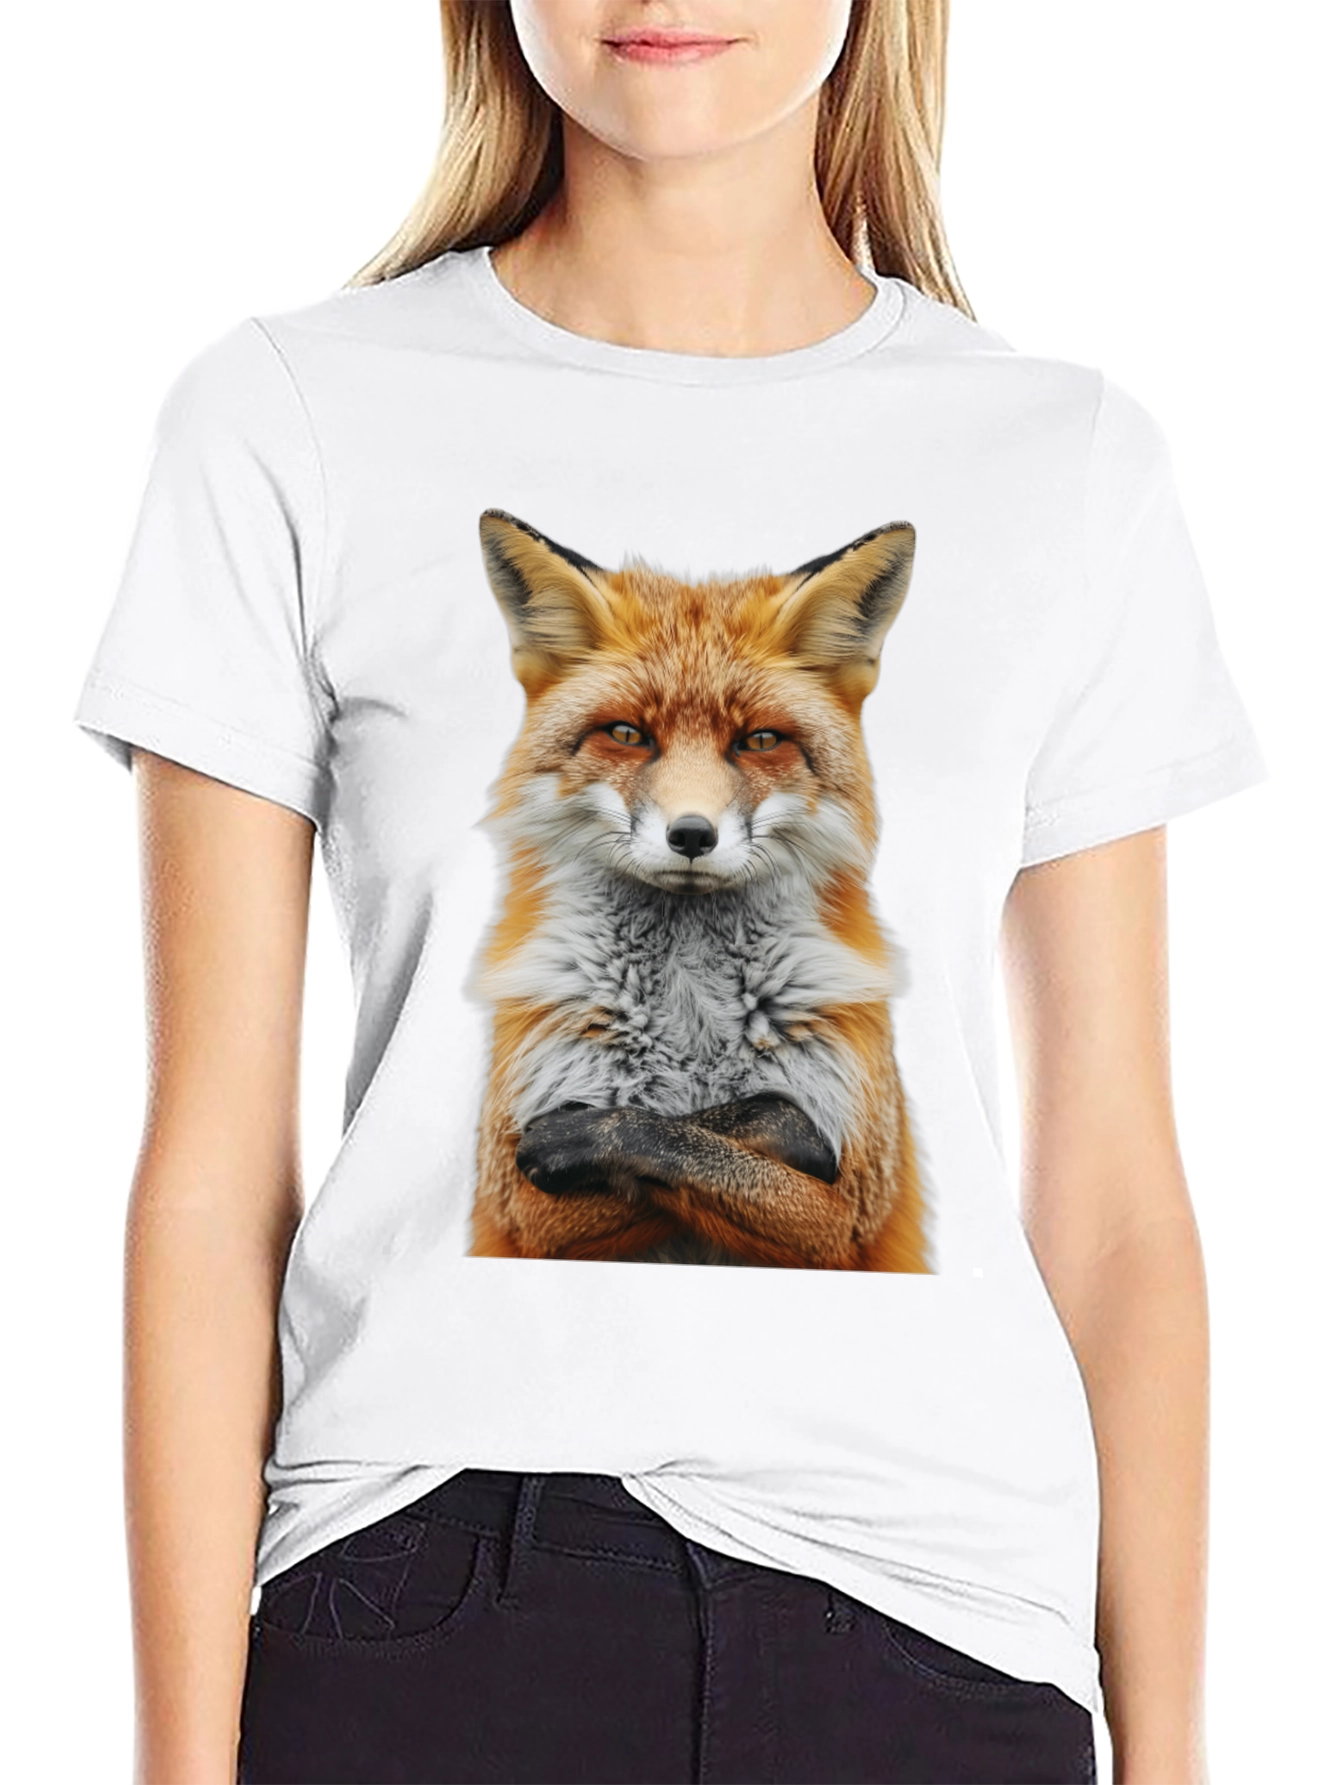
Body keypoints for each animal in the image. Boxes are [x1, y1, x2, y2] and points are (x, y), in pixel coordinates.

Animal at [464, 507, 933, 1272]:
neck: (689, 1012)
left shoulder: (849, 1209)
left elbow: (709, 1137)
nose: (691, 835)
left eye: (759, 740)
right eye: (628, 734)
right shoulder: (523, 1207)